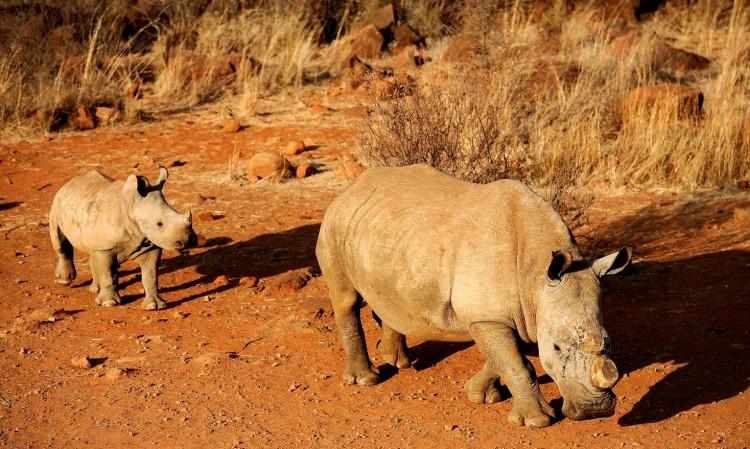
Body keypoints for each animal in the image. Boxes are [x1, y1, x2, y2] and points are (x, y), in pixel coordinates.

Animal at [49, 167, 197, 310]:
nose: (188, 241)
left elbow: (150, 276)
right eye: (159, 224)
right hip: (57, 204)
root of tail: (70, 182)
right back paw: (65, 281)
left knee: (92, 251)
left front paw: (154, 306)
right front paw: (109, 303)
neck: (132, 206)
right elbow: (108, 274)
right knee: (60, 242)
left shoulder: (149, 244)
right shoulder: (105, 247)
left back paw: (95, 290)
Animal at [315, 165, 631, 427]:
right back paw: (366, 380)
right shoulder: (488, 316)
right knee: (346, 299)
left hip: (385, 235)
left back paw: (398, 361)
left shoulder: (510, 312)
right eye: (555, 347)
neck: (536, 273)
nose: (595, 411)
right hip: (335, 224)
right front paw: (536, 421)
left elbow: (505, 357)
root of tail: (351, 187)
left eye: (609, 342)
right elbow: (516, 363)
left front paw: (480, 395)